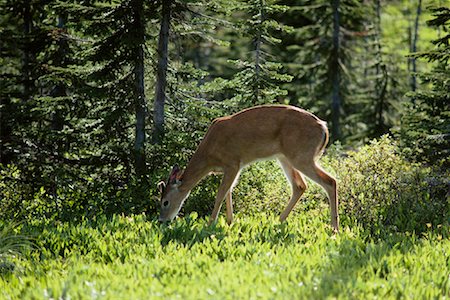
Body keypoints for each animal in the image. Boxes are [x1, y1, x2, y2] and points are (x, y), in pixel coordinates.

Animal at [157, 104, 338, 233]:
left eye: (165, 202)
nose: (161, 221)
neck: (209, 155)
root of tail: (323, 127)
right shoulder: (230, 167)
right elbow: (228, 191)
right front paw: (230, 222)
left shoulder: (233, 162)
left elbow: (220, 193)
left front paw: (210, 225)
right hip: (285, 157)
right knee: (300, 186)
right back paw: (278, 221)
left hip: (301, 156)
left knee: (330, 181)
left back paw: (334, 229)